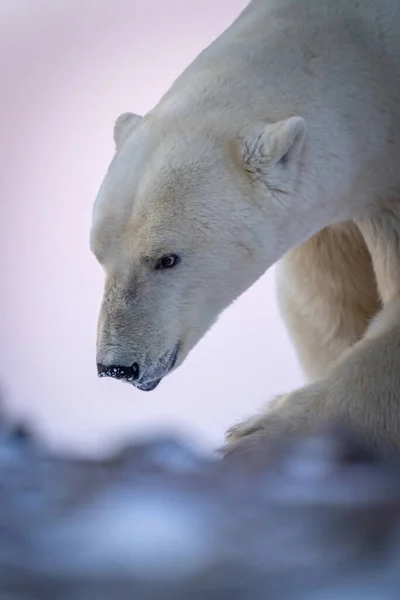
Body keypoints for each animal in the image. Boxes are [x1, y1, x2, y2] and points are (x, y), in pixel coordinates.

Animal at [91, 0, 400, 452]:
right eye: (99, 256)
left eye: (167, 259)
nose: (117, 366)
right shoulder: (333, 226)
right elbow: (328, 305)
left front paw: (256, 433)